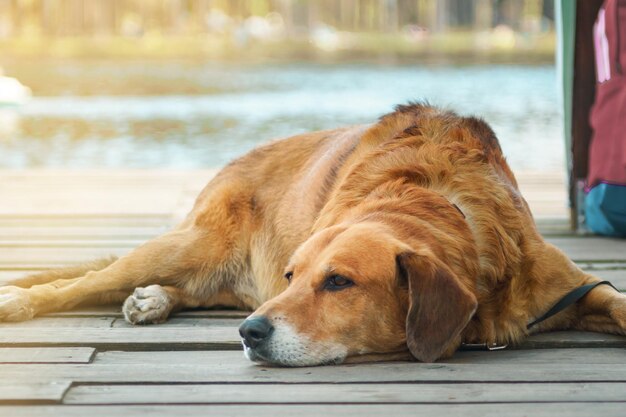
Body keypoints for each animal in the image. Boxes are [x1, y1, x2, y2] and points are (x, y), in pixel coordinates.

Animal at [1, 103, 624, 364]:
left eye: (339, 282)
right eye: (291, 276)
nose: (251, 334)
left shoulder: (572, 287)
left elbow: (615, 301)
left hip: (216, 278)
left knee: (196, 292)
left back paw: (155, 300)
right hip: (191, 246)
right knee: (82, 283)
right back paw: (23, 301)